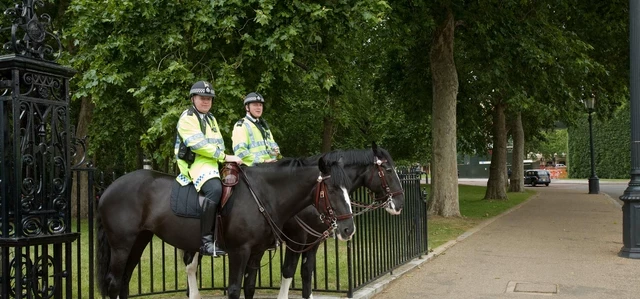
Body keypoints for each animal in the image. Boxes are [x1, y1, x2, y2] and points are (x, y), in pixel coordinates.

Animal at [96, 156, 356, 298]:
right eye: (333, 188)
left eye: (348, 187)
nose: (348, 229)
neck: (262, 195)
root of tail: (108, 189)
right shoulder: (239, 252)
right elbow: (234, 289)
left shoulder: (257, 253)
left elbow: (249, 287)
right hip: (121, 246)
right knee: (114, 282)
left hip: (139, 241)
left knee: (124, 281)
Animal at [276, 144, 404, 298]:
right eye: (389, 170)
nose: (400, 204)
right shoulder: (296, 241)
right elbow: (288, 271)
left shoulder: (314, 241)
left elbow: (307, 271)